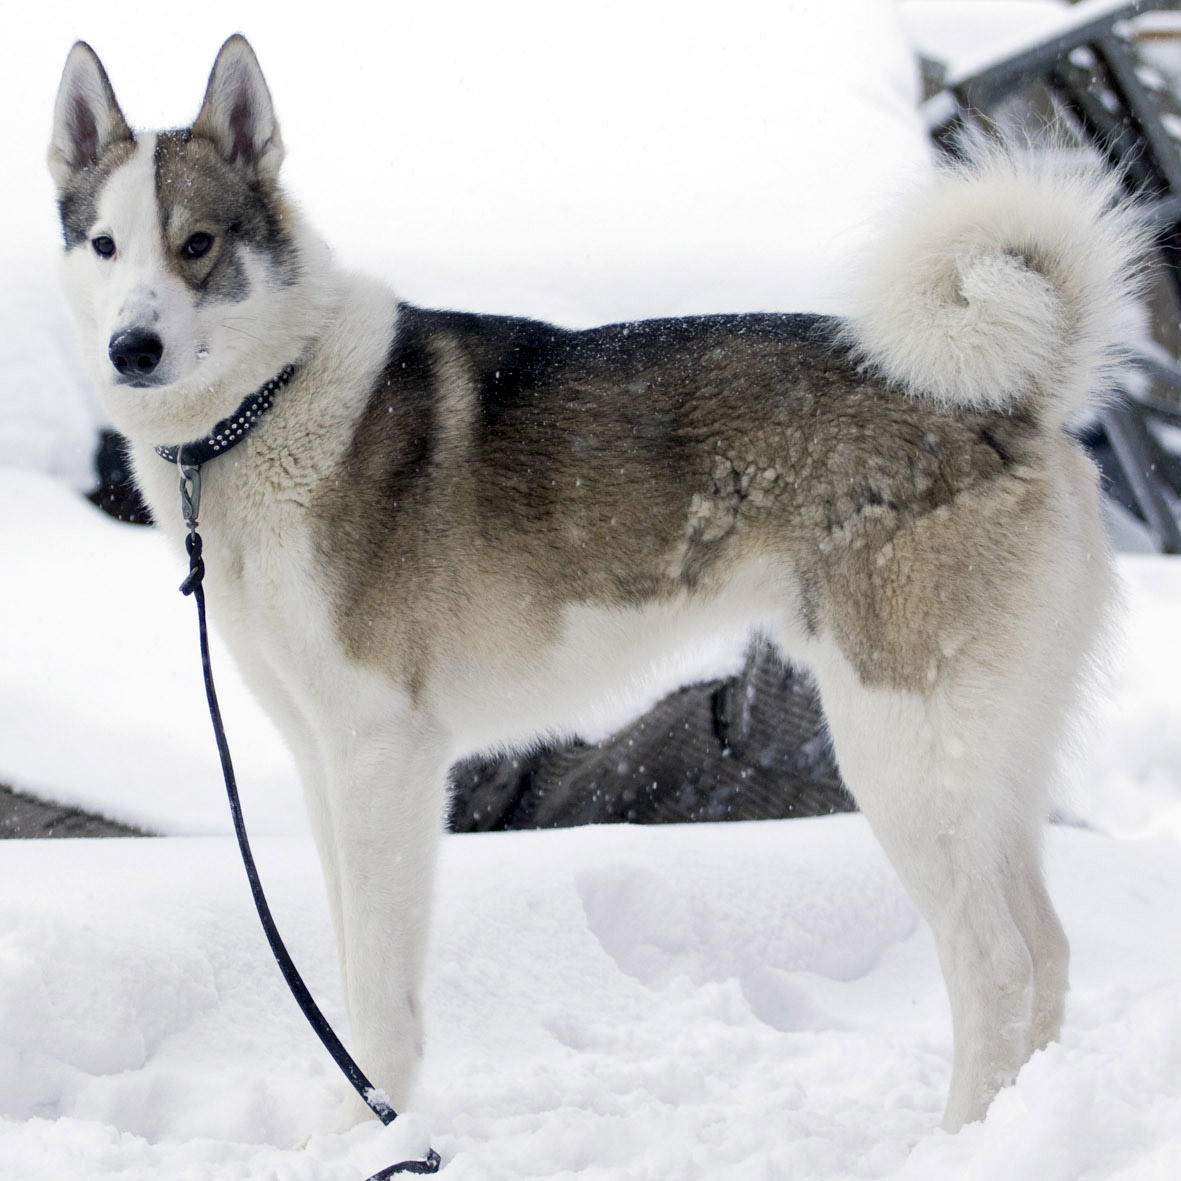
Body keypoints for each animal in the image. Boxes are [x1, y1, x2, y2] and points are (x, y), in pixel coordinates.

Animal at [48, 36, 1143, 1133]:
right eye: (104, 246)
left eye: (197, 244)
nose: (131, 349)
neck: (266, 407)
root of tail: (1014, 401)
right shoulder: (323, 761)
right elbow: (351, 968)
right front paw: (354, 1122)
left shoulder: (383, 756)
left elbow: (380, 984)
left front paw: (377, 1125)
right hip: (988, 755)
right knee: (1047, 954)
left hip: (896, 749)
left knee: (997, 965)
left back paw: (957, 1140)